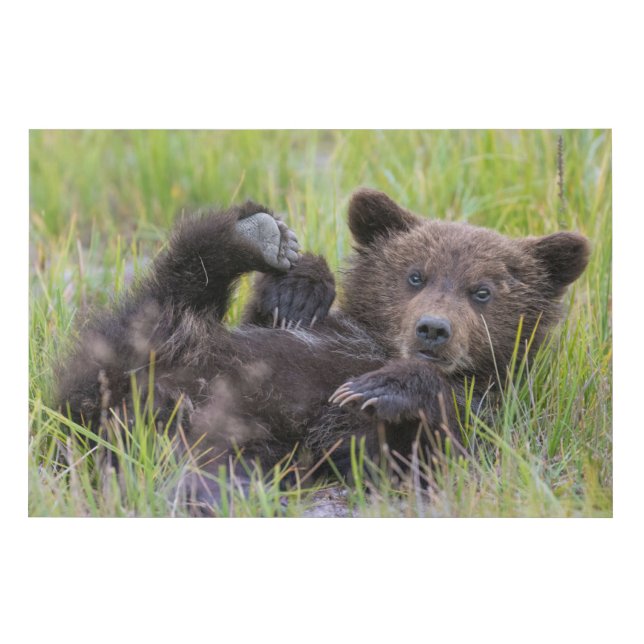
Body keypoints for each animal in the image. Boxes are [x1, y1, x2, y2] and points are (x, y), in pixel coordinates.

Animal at [55, 188, 590, 508]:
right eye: (415, 275)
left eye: (482, 291)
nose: (433, 330)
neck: (378, 344)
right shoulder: (320, 331)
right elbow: (275, 317)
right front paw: (300, 288)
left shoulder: (489, 411)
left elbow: (433, 451)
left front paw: (380, 388)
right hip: (146, 353)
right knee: (165, 297)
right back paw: (252, 234)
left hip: (234, 437)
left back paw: (207, 492)